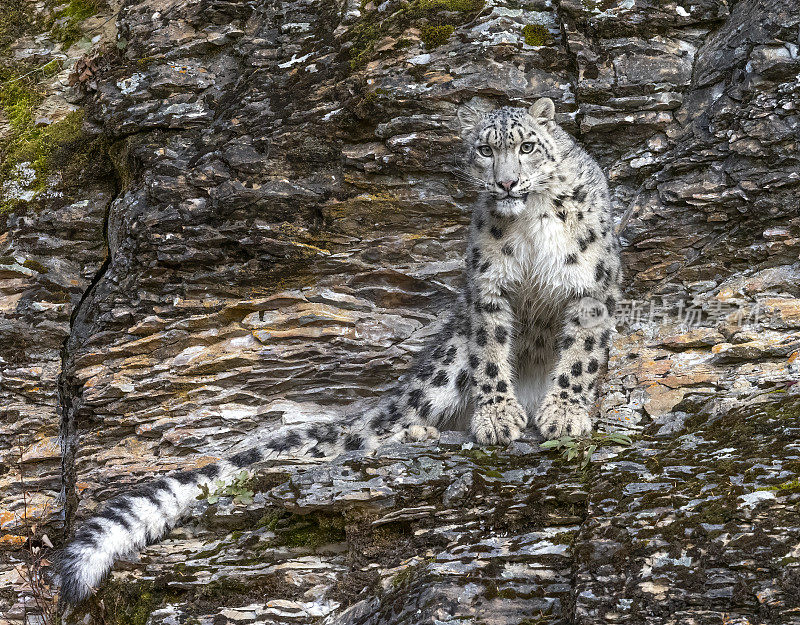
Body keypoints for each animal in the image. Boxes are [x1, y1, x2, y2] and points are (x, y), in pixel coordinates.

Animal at [59, 98, 620, 604]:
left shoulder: (591, 288)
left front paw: (565, 414)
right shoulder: (489, 289)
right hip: (445, 366)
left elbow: (581, 355)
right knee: (369, 432)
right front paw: (499, 417)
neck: (531, 228)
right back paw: (419, 432)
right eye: (486, 150)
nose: (505, 183)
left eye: (527, 147)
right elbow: (491, 355)